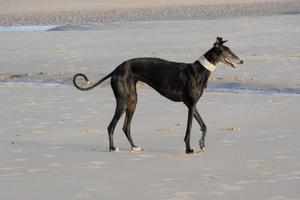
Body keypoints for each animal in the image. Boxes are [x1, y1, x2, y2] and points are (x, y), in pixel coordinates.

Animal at [73, 37, 244, 153]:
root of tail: (116, 69)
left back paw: (134, 147)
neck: (199, 70)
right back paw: (112, 147)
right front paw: (189, 149)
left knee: (125, 127)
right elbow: (188, 130)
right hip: (122, 100)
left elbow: (204, 125)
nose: (241, 61)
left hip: (133, 101)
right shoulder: (190, 106)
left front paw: (202, 145)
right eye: (228, 51)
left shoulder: (192, 104)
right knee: (111, 126)